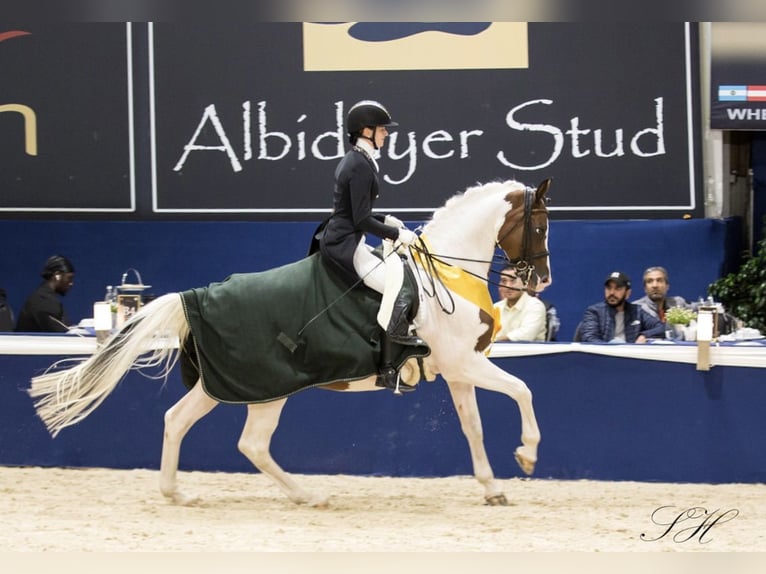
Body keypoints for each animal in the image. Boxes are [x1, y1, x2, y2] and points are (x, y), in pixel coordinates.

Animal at [28, 177, 552, 507]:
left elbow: (473, 428)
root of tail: (197, 295)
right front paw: (527, 454)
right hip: (267, 387)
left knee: (178, 421)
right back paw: (310, 495)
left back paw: (178, 493)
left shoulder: (458, 369)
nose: (540, 280)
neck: (445, 272)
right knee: (251, 444)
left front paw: (492, 488)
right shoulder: (464, 363)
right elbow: (524, 390)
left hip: (226, 383)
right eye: (540, 225)